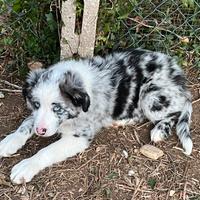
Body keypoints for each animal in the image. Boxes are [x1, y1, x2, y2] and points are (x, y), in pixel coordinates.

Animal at [0, 49, 192, 184]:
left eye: (58, 108)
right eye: (37, 104)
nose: (40, 131)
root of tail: (178, 76)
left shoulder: (79, 137)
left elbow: (46, 151)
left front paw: (26, 166)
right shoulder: (36, 116)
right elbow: (27, 122)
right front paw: (9, 142)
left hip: (150, 96)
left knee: (176, 111)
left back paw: (160, 129)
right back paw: (122, 121)